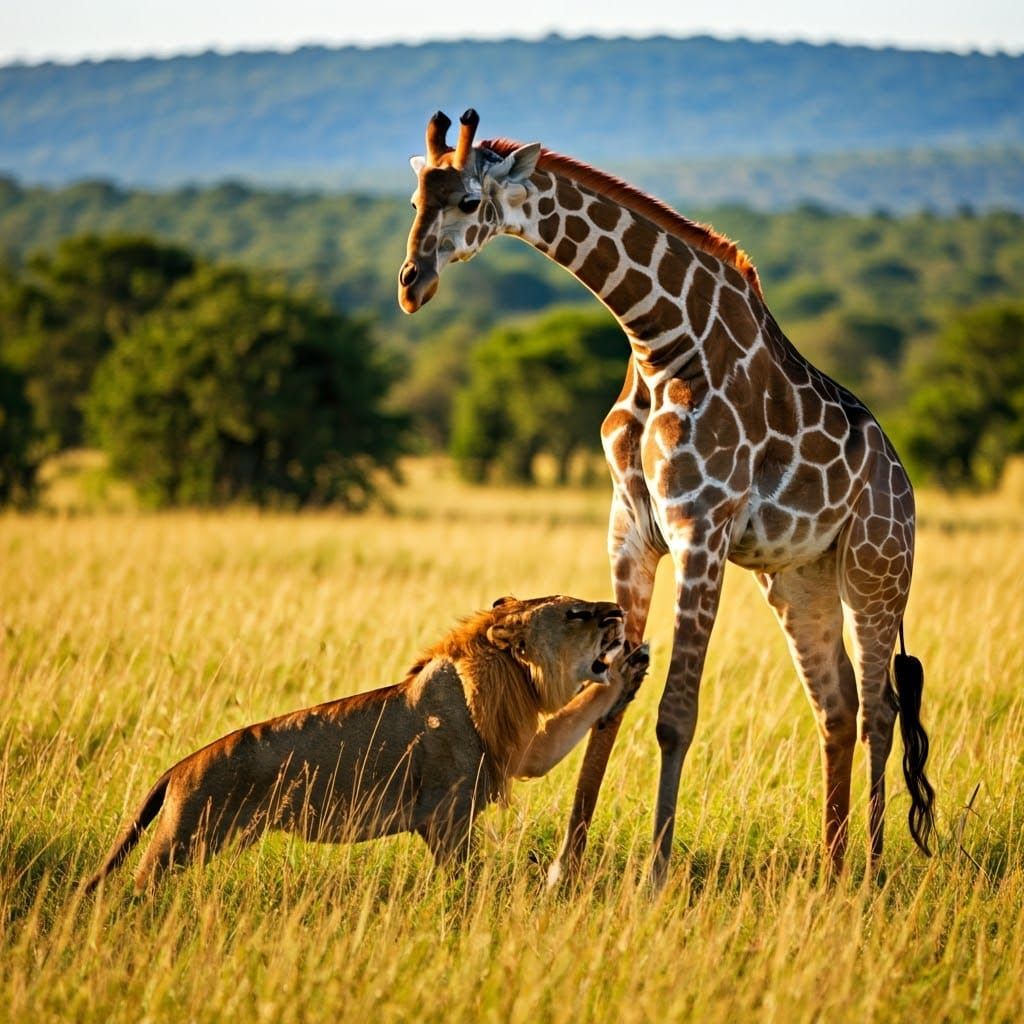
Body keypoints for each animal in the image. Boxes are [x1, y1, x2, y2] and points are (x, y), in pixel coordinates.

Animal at [85, 594, 649, 892]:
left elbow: (574, 718)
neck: (507, 678)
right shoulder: (445, 815)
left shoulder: (521, 750)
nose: (617, 610)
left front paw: (628, 671)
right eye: (575, 613)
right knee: (134, 887)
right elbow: (465, 878)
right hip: (179, 843)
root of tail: (177, 769)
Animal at [398, 110, 935, 887]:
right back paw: (832, 866)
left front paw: (654, 874)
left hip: (876, 572)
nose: (412, 286)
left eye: (469, 201)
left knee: (880, 708)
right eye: (415, 199)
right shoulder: (630, 530)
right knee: (836, 706)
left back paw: (869, 865)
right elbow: (608, 697)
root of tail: (905, 484)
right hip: (798, 580)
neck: (660, 339)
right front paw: (565, 868)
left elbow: (676, 713)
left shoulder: (700, 528)